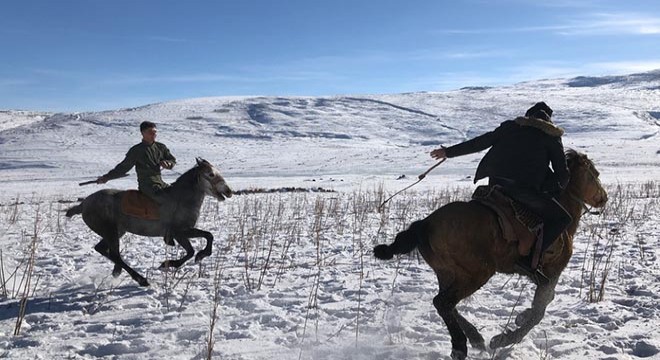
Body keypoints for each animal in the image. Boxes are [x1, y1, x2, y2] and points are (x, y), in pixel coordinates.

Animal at [66, 158, 232, 286]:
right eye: (211, 174)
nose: (229, 191)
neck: (181, 199)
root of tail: (84, 204)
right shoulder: (179, 232)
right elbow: (197, 246)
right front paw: (171, 263)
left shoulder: (182, 233)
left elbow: (203, 241)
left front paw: (196, 257)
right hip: (110, 232)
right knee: (115, 254)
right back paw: (141, 279)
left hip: (116, 232)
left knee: (102, 249)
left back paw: (117, 272)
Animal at [374, 150, 604, 360]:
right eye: (594, 174)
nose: (604, 198)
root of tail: (426, 224)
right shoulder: (552, 271)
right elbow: (541, 309)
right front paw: (505, 338)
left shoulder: (538, 274)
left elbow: (545, 300)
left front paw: (519, 318)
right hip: (477, 273)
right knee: (443, 303)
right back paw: (461, 346)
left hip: (448, 273)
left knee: (447, 304)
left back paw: (475, 338)